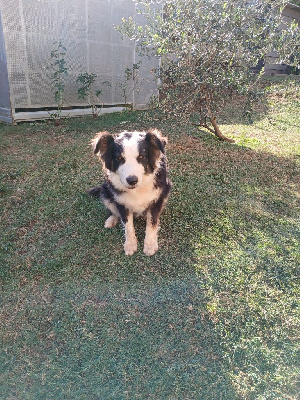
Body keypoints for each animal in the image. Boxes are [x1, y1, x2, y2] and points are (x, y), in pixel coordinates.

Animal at [89, 130, 171, 258]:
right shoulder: (121, 202)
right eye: (119, 158)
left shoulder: (157, 199)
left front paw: (150, 245)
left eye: (141, 157)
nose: (132, 180)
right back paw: (111, 220)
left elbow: (151, 223)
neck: (137, 189)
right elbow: (128, 226)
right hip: (105, 191)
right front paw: (130, 245)